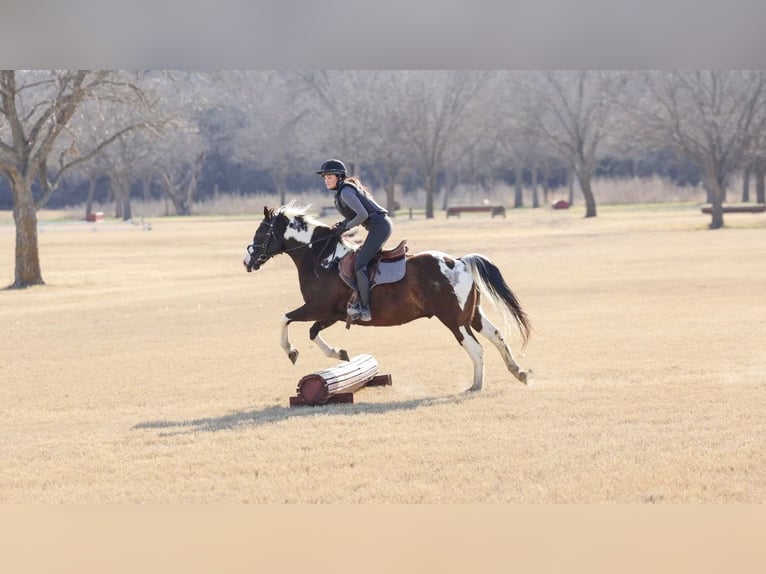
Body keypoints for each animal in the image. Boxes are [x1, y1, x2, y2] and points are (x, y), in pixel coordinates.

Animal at [242, 203, 531, 391]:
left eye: (261, 233)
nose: (247, 262)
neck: (320, 258)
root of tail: (458, 261)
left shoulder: (317, 307)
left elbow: (285, 319)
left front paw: (291, 351)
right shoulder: (333, 314)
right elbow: (313, 333)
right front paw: (340, 354)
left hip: (453, 319)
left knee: (476, 348)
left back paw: (476, 386)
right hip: (472, 315)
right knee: (497, 336)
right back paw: (519, 372)